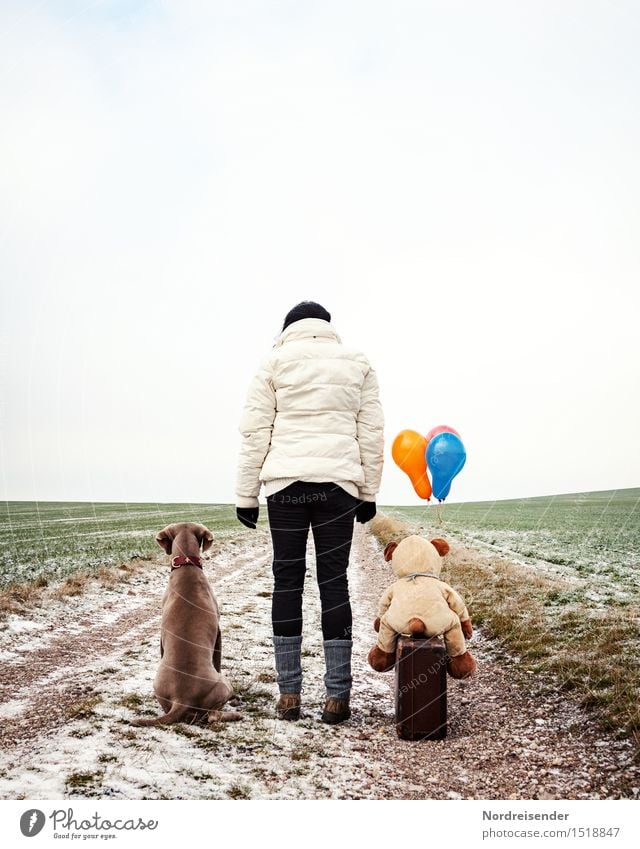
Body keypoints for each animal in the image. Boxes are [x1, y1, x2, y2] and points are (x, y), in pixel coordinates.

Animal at [131, 520, 241, 724]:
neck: (186, 566)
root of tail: (181, 700)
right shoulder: (219, 632)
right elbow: (218, 659)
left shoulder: (161, 637)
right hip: (223, 685)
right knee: (212, 716)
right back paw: (235, 713)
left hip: (158, 685)